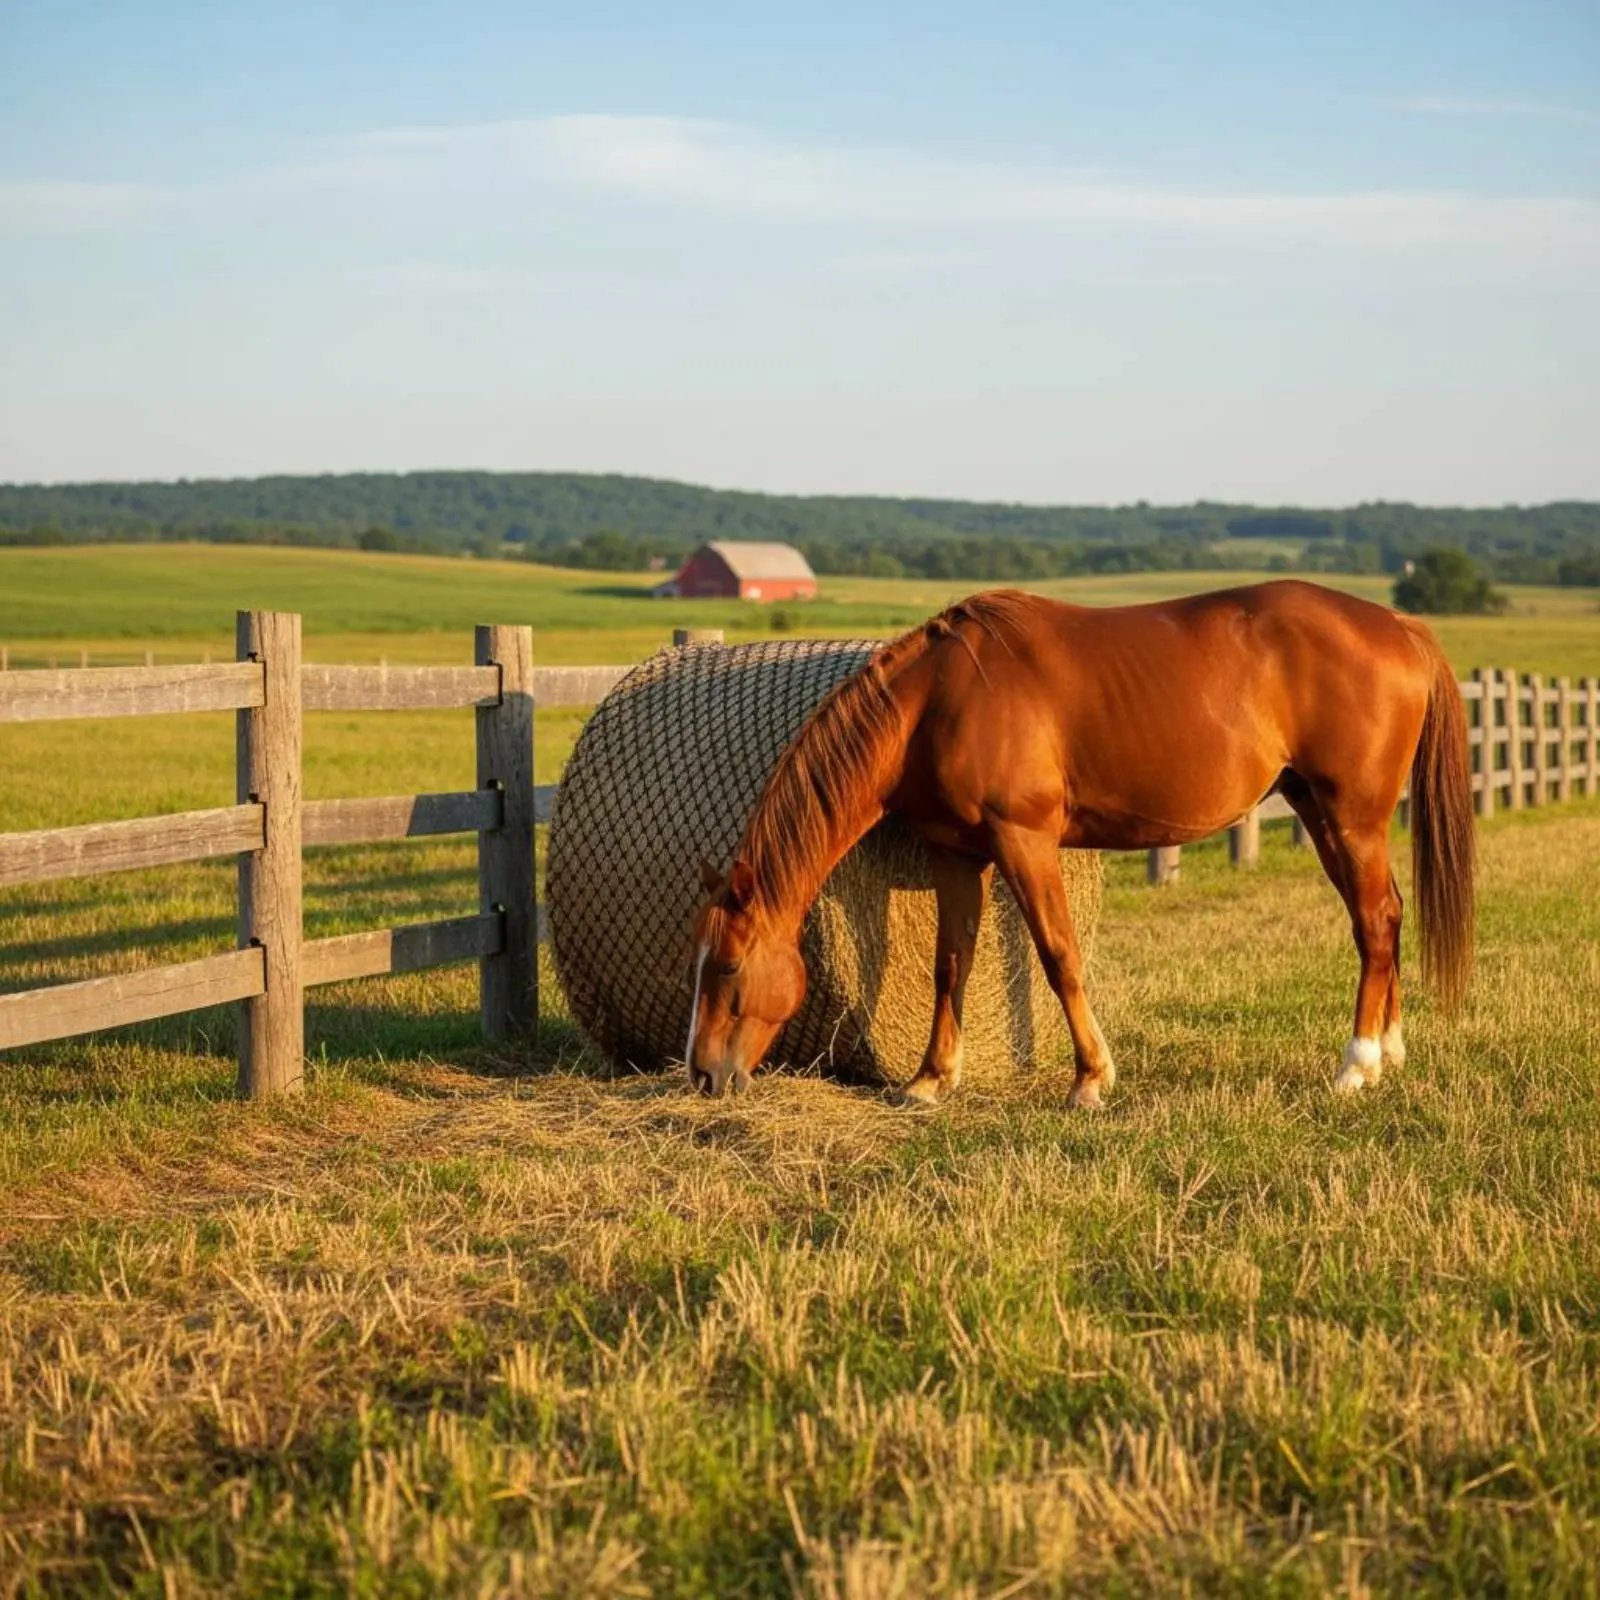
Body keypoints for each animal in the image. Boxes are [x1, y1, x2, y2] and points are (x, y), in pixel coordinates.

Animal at [685, 581, 1475, 1105]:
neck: (938, 701)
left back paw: (1355, 1065)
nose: (702, 1073)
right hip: (1319, 813)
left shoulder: (1025, 841)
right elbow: (949, 964)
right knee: (1384, 919)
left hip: (1351, 818)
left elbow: (1060, 955)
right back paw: (1388, 1053)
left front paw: (1091, 1078)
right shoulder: (958, 855)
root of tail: (1397, 623)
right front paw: (930, 1079)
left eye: (726, 967)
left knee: (1374, 923)